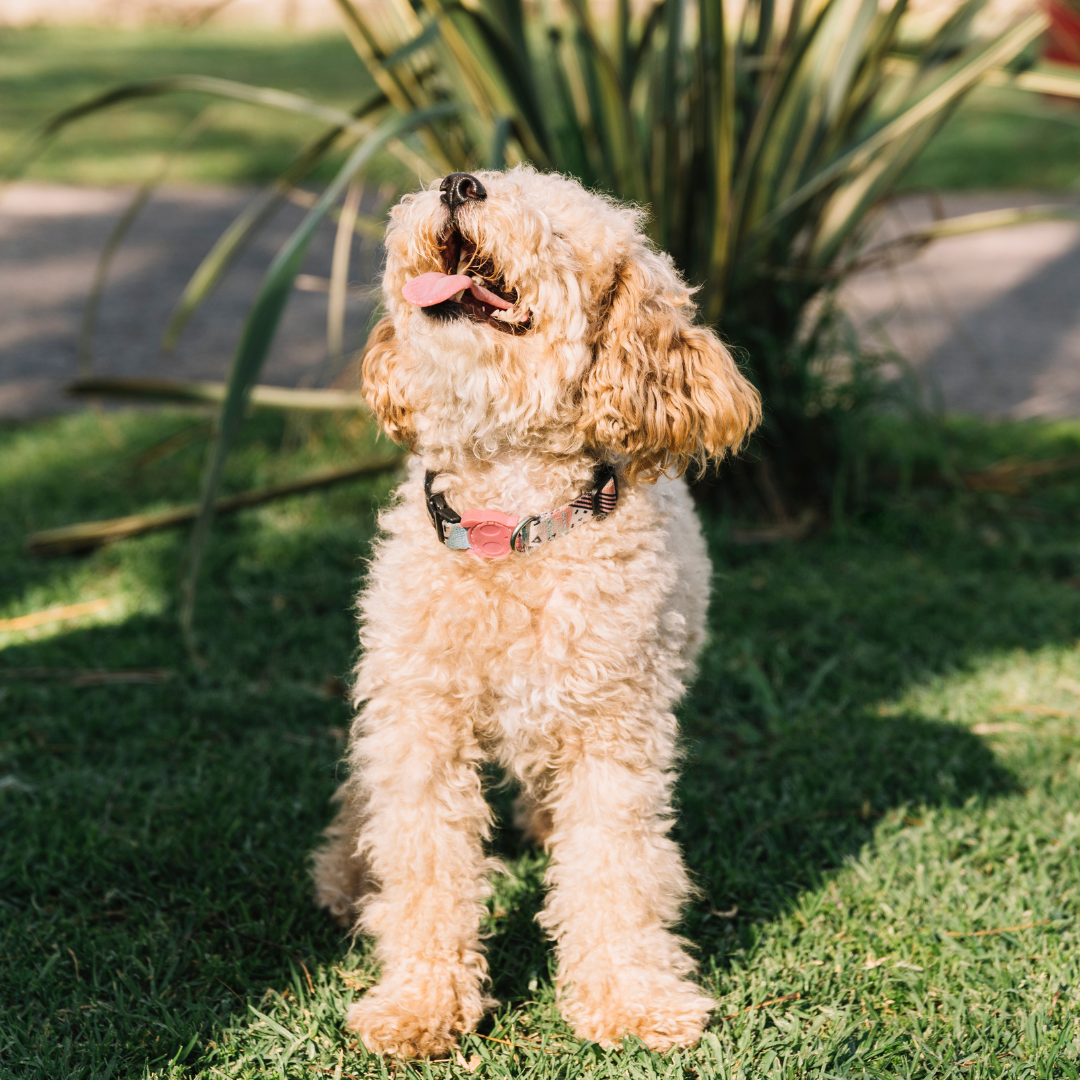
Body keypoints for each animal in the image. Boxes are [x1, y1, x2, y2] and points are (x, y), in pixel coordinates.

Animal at [313, 166, 764, 1054]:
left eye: (561, 232)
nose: (458, 183)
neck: (506, 529)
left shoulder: (615, 732)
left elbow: (617, 867)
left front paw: (630, 998)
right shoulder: (421, 720)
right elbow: (423, 864)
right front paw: (418, 1004)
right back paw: (346, 875)